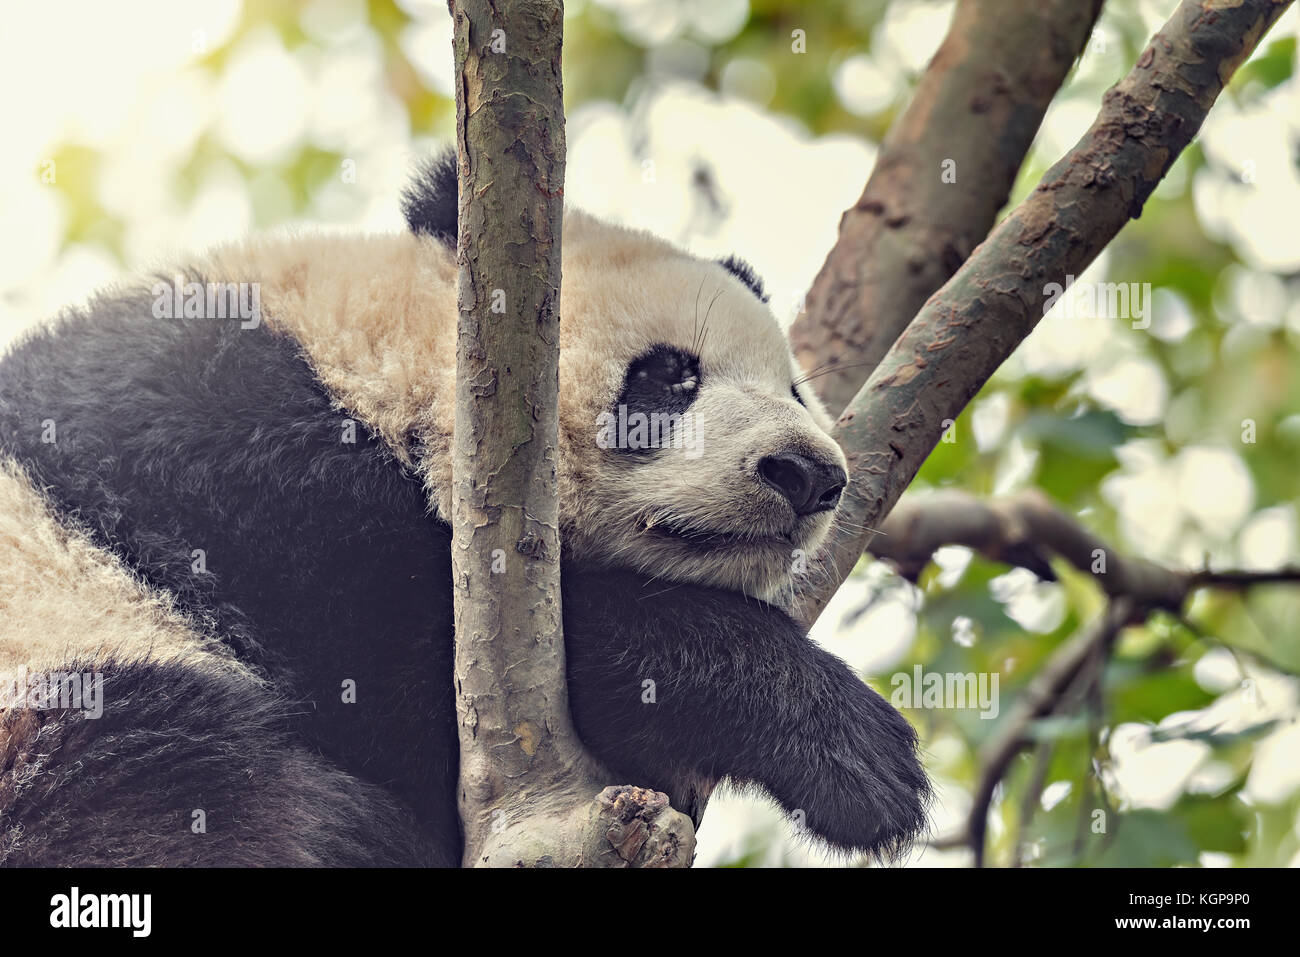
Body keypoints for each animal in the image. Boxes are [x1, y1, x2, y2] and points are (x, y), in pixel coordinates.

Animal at [2, 151, 935, 868]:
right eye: (670, 376)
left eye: (796, 391)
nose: (807, 474)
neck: (374, 367)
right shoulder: (215, 455)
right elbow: (391, 652)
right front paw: (851, 750)